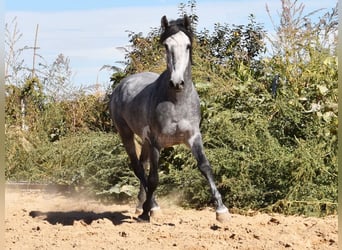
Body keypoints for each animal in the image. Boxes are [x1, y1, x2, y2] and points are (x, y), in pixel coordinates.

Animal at [109, 14, 230, 223]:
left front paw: (221, 210)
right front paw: (148, 212)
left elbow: (205, 167)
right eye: (166, 46)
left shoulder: (193, 137)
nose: (177, 82)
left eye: (188, 45)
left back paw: (141, 205)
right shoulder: (156, 142)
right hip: (126, 134)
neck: (176, 102)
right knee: (138, 168)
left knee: (142, 165)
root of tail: (122, 84)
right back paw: (150, 206)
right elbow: (154, 179)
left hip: (145, 140)